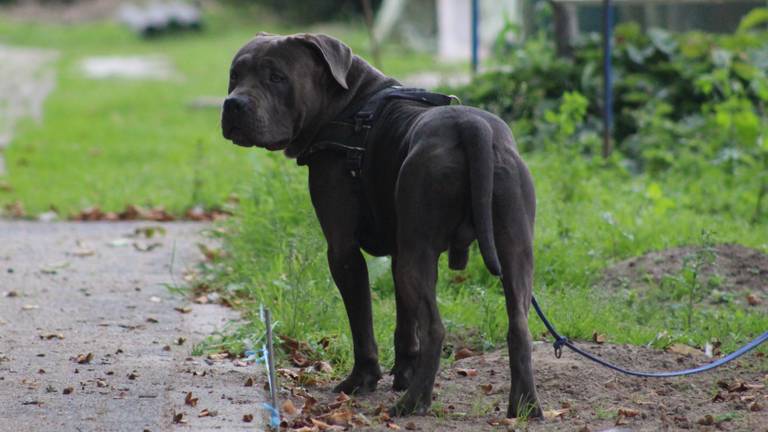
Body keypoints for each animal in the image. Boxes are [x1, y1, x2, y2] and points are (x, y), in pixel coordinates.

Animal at [220, 32, 540, 416]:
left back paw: (414, 402)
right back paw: (524, 406)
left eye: (276, 77)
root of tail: (470, 127)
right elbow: (404, 321)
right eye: (235, 74)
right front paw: (404, 372)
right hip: (511, 249)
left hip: (421, 253)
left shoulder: (343, 251)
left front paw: (362, 380)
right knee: (519, 325)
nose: (233, 104)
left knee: (435, 328)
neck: (347, 104)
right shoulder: (400, 250)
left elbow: (362, 321)